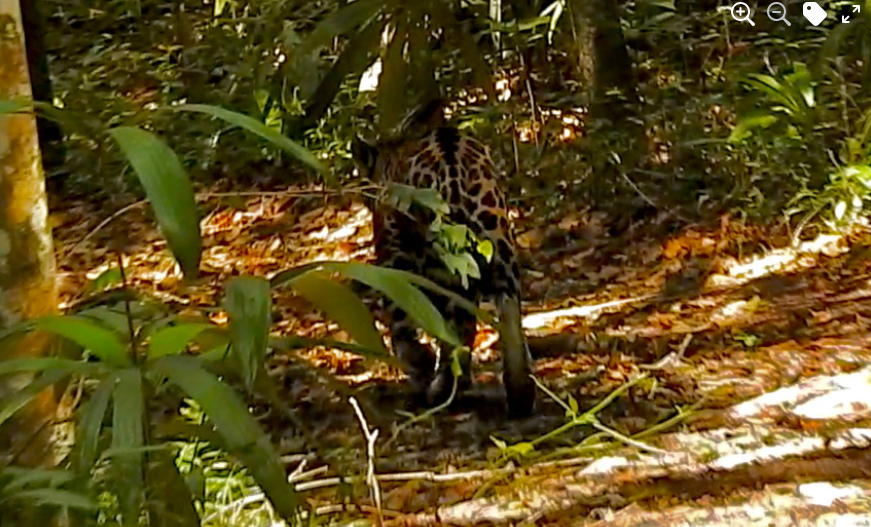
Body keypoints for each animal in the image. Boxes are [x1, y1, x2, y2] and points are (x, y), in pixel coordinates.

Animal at [355, 126, 535, 418]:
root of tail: (453, 166)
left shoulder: (394, 258)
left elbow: (404, 323)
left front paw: (422, 370)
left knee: (449, 321)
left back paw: (439, 388)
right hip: (496, 244)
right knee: (506, 311)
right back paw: (519, 392)